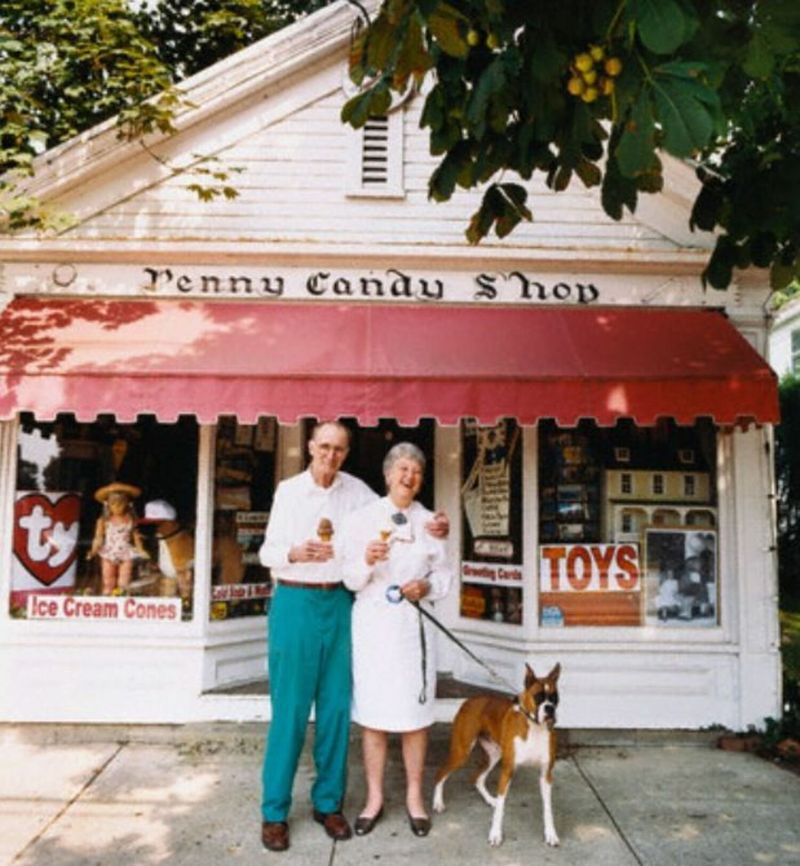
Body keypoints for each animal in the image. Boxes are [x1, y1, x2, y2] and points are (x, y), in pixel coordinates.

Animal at [434, 660, 560, 844]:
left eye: (555, 697)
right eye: (538, 697)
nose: (549, 709)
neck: (534, 727)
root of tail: (469, 700)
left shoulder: (546, 775)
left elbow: (548, 808)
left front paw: (551, 833)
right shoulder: (508, 771)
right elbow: (501, 807)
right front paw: (495, 833)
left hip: (494, 755)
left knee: (477, 778)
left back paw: (489, 799)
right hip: (462, 752)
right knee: (441, 773)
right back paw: (437, 802)